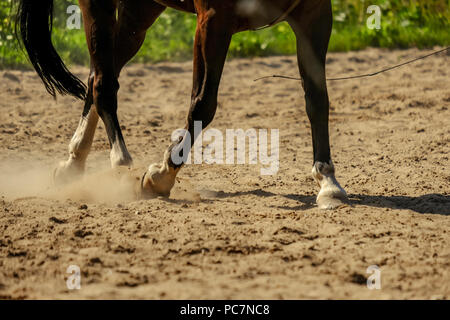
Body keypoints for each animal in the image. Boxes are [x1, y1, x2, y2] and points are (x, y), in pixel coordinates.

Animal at [15, 0, 346, 210]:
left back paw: (74, 162)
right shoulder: (213, 20)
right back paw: (118, 159)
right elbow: (203, 104)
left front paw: (327, 181)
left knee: (98, 74)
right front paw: (161, 177)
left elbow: (318, 99)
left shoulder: (315, 16)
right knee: (103, 83)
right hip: (99, 5)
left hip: (139, 12)